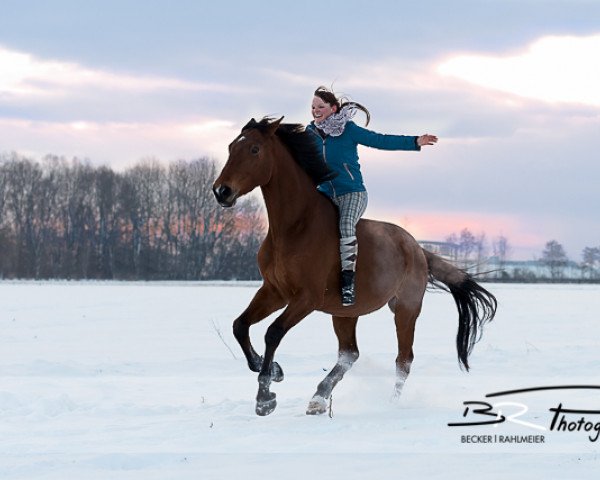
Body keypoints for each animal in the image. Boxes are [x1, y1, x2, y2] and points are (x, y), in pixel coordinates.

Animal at [212, 117, 496, 416]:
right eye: (231, 147)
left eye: (254, 149)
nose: (221, 191)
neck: (294, 228)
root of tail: (417, 248)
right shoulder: (274, 291)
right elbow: (240, 325)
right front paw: (273, 371)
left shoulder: (306, 298)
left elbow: (273, 332)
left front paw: (265, 397)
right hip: (345, 312)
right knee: (350, 354)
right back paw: (318, 399)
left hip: (405, 310)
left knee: (403, 360)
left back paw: (389, 404)